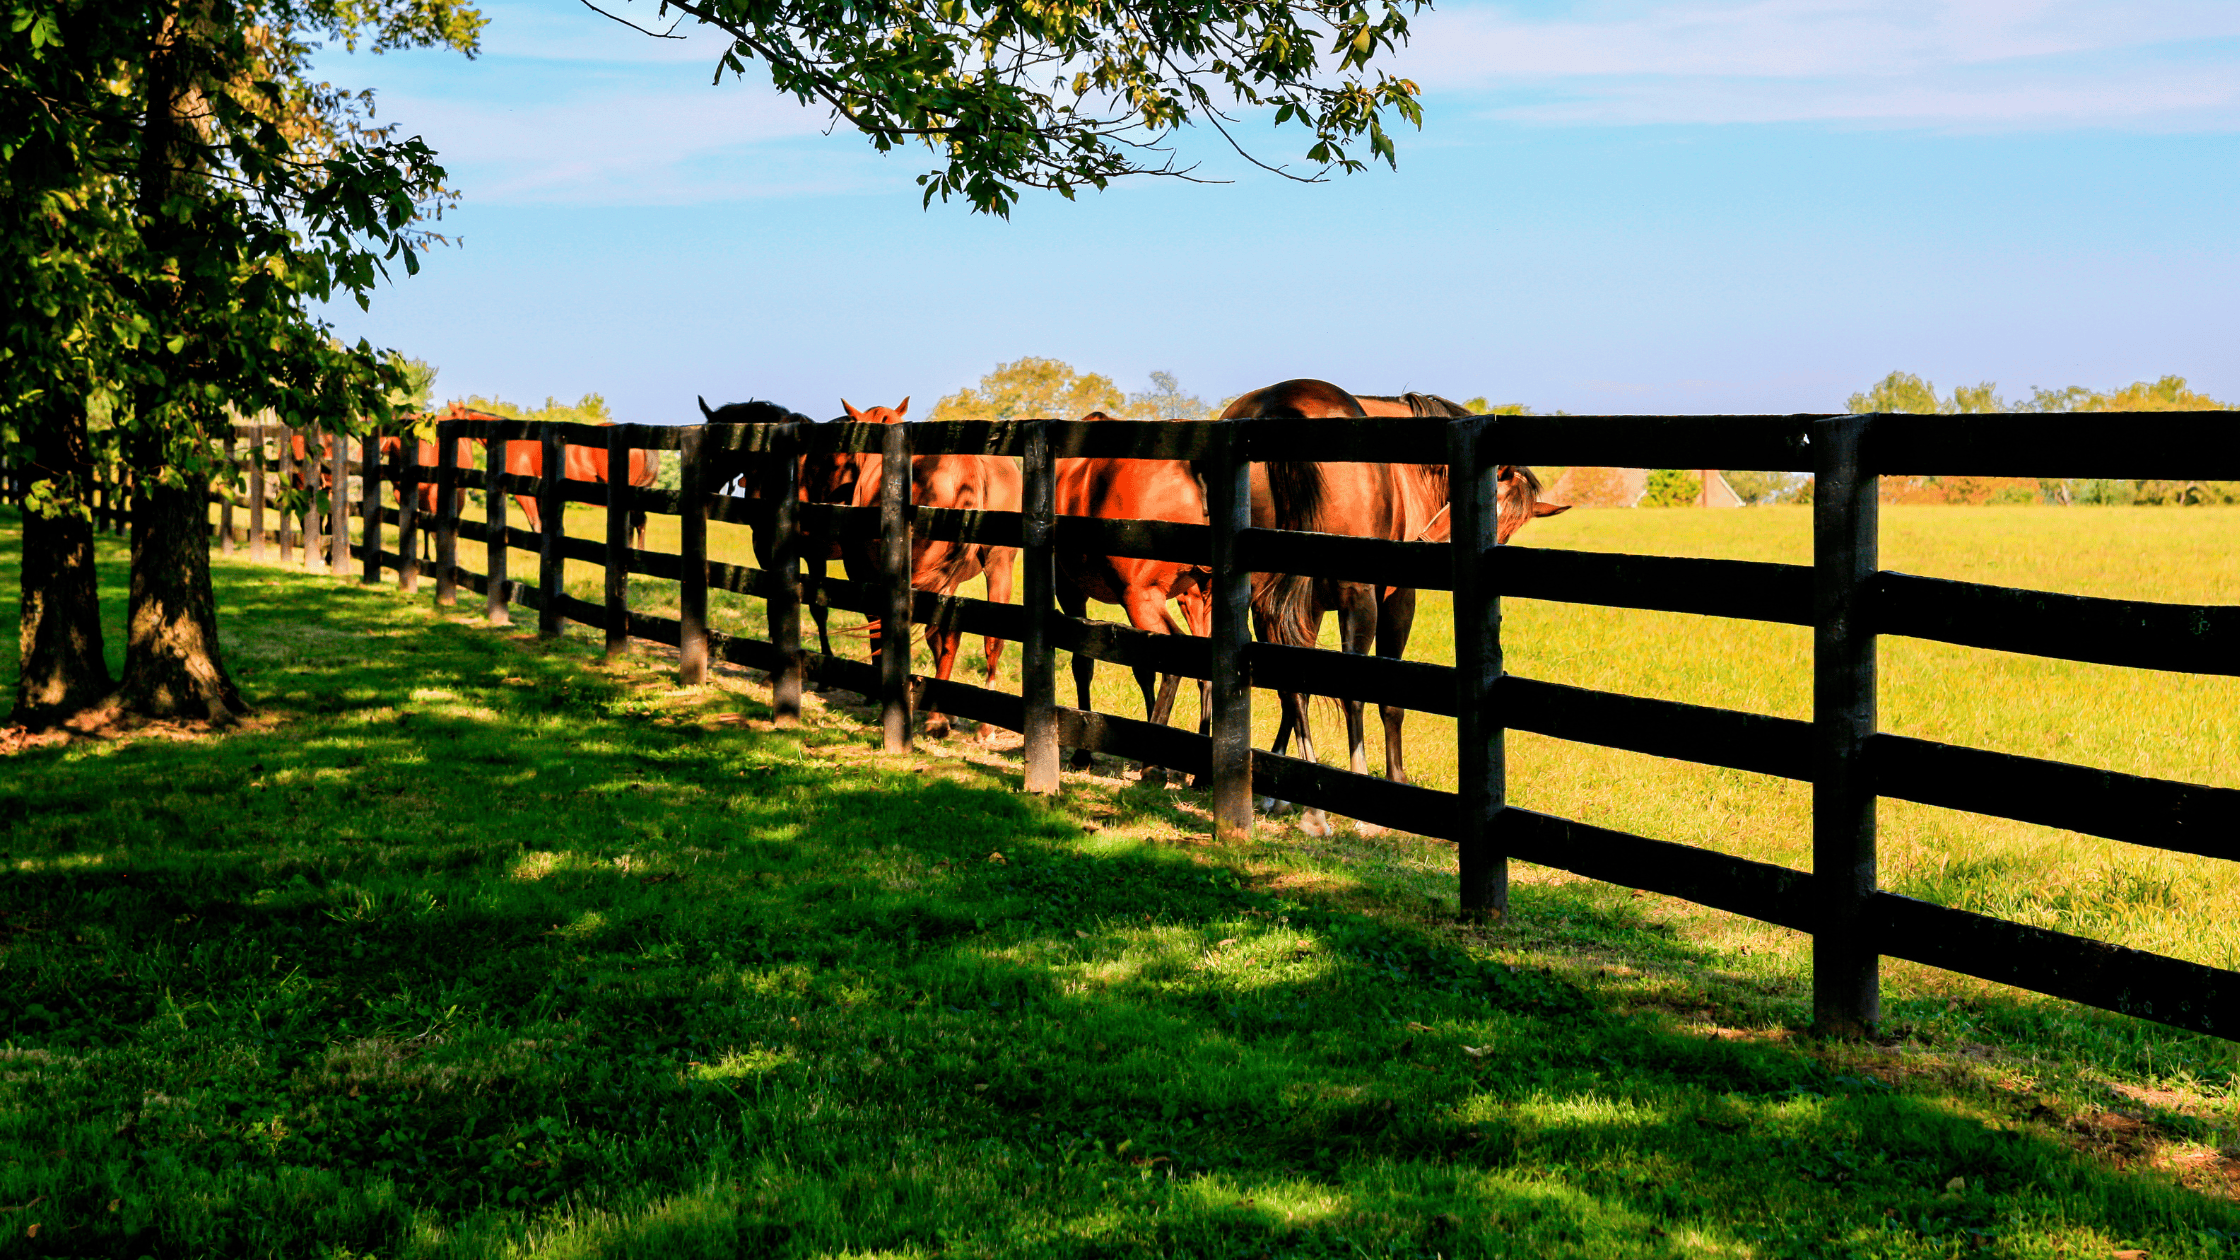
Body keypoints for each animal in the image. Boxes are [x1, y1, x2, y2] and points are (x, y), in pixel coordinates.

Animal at [1057, 408, 1218, 775]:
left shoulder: (1070, 591)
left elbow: (1083, 663)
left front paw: (1082, 753)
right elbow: (1143, 669)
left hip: (1141, 599)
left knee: (1172, 660)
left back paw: (1153, 765)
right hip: (1199, 598)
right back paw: (1199, 774)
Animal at [1218, 376, 1568, 838]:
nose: (1432, 546)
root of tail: (1283, 402)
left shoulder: (1302, 607)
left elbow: (1297, 688)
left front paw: (1282, 788)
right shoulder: (1396, 599)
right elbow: (1388, 698)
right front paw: (1393, 782)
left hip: (1267, 598)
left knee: (1291, 685)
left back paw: (1313, 807)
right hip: (1359, 599)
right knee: (1354, 689)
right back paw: (1347, 806)